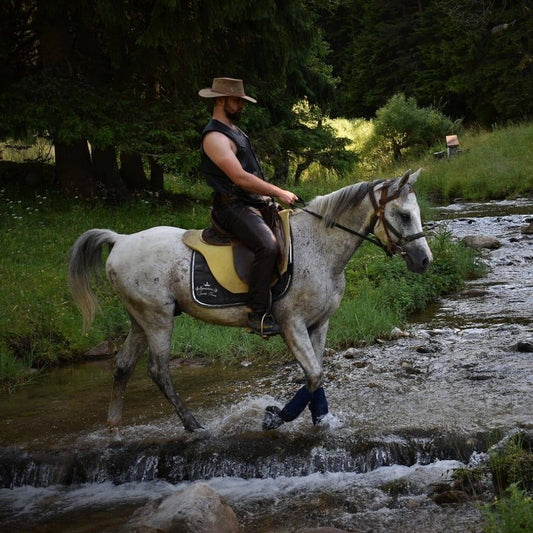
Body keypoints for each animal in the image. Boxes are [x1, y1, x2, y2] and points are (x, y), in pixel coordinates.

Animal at [67, 168, 432, 430]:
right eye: (403, 215)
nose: (424, 261)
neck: (320, 247)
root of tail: (121, 240)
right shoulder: (292, 324)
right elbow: (313, 374)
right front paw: (276, 417)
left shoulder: (319, 323)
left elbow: (316, 374)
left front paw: (321, 419)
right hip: (157, 319)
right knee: (158, 371)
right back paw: (193, 425)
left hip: (139, 319)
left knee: (122, 366)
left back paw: (114, 426)